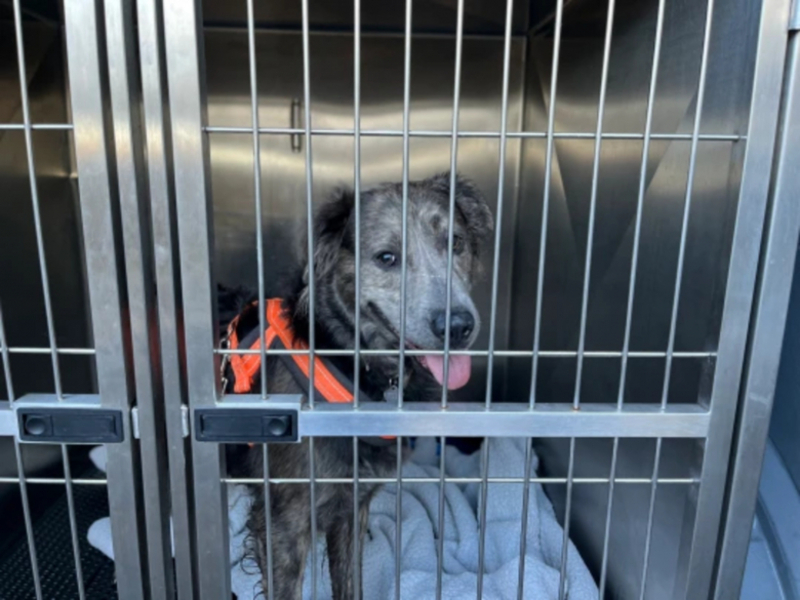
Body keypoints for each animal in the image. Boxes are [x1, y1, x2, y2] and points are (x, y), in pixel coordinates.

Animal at [222, 172, 490, 600]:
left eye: (456, 243)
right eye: (386, 258)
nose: (459, 327)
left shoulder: (352, 507)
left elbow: (351, 583)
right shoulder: (283, 524)